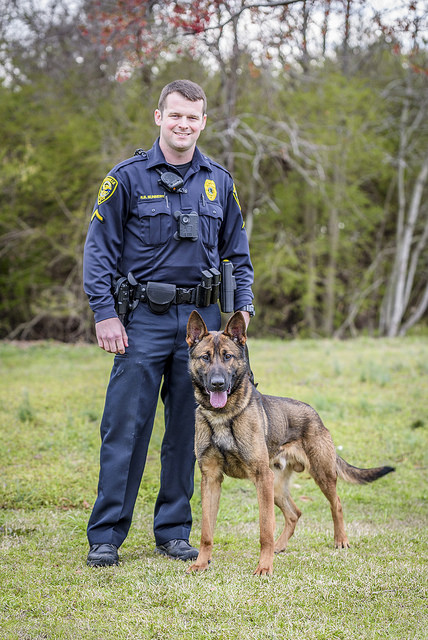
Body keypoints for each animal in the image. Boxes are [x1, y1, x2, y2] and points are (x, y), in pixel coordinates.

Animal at [186, 310, 394, 576]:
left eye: (228, 356)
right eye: (205, 357)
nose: (218, 383)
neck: (224, 415)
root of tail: (316, 415)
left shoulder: (260, 477)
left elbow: (265, 529)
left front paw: (264, 567)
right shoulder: (211, 479)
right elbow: (206, 531)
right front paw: (201, 563)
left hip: (318, 475)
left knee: (336, 504)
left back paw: (340, 540)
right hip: (275, 486)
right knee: (295, 513)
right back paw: (280, 545)